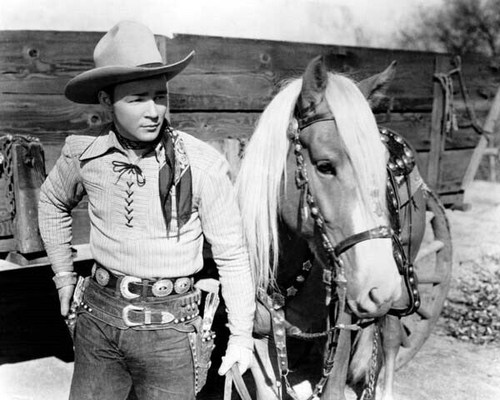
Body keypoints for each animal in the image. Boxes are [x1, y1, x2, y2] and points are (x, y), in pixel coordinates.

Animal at [233, 57, 426, 400]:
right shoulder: (260, 335)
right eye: (324, 166)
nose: (378, 287)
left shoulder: (341, 330)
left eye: (382, 167)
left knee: (390, 340)